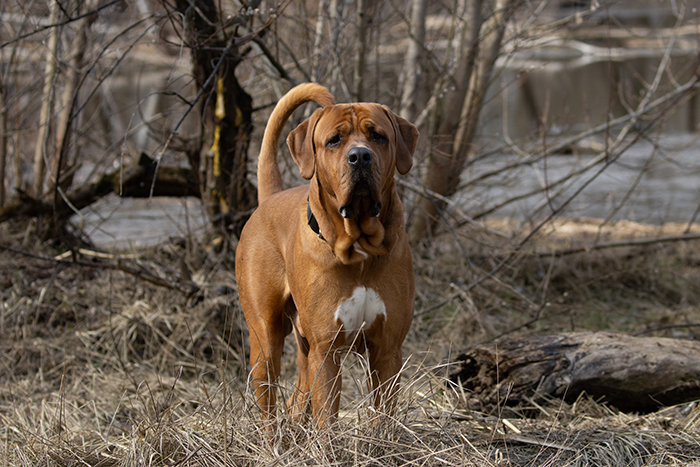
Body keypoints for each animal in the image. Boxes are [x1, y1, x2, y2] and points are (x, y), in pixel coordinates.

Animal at [237, 83, 422, 428]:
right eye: (334, 140)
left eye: (378, 136)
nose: (360, 156)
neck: (359, 245)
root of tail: (269, 199)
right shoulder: (326, 351)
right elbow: (327, 421)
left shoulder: (387, 350)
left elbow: (383, 419)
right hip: (265, 341)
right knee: (269, 404)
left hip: (303, 348)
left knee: (297, 400)